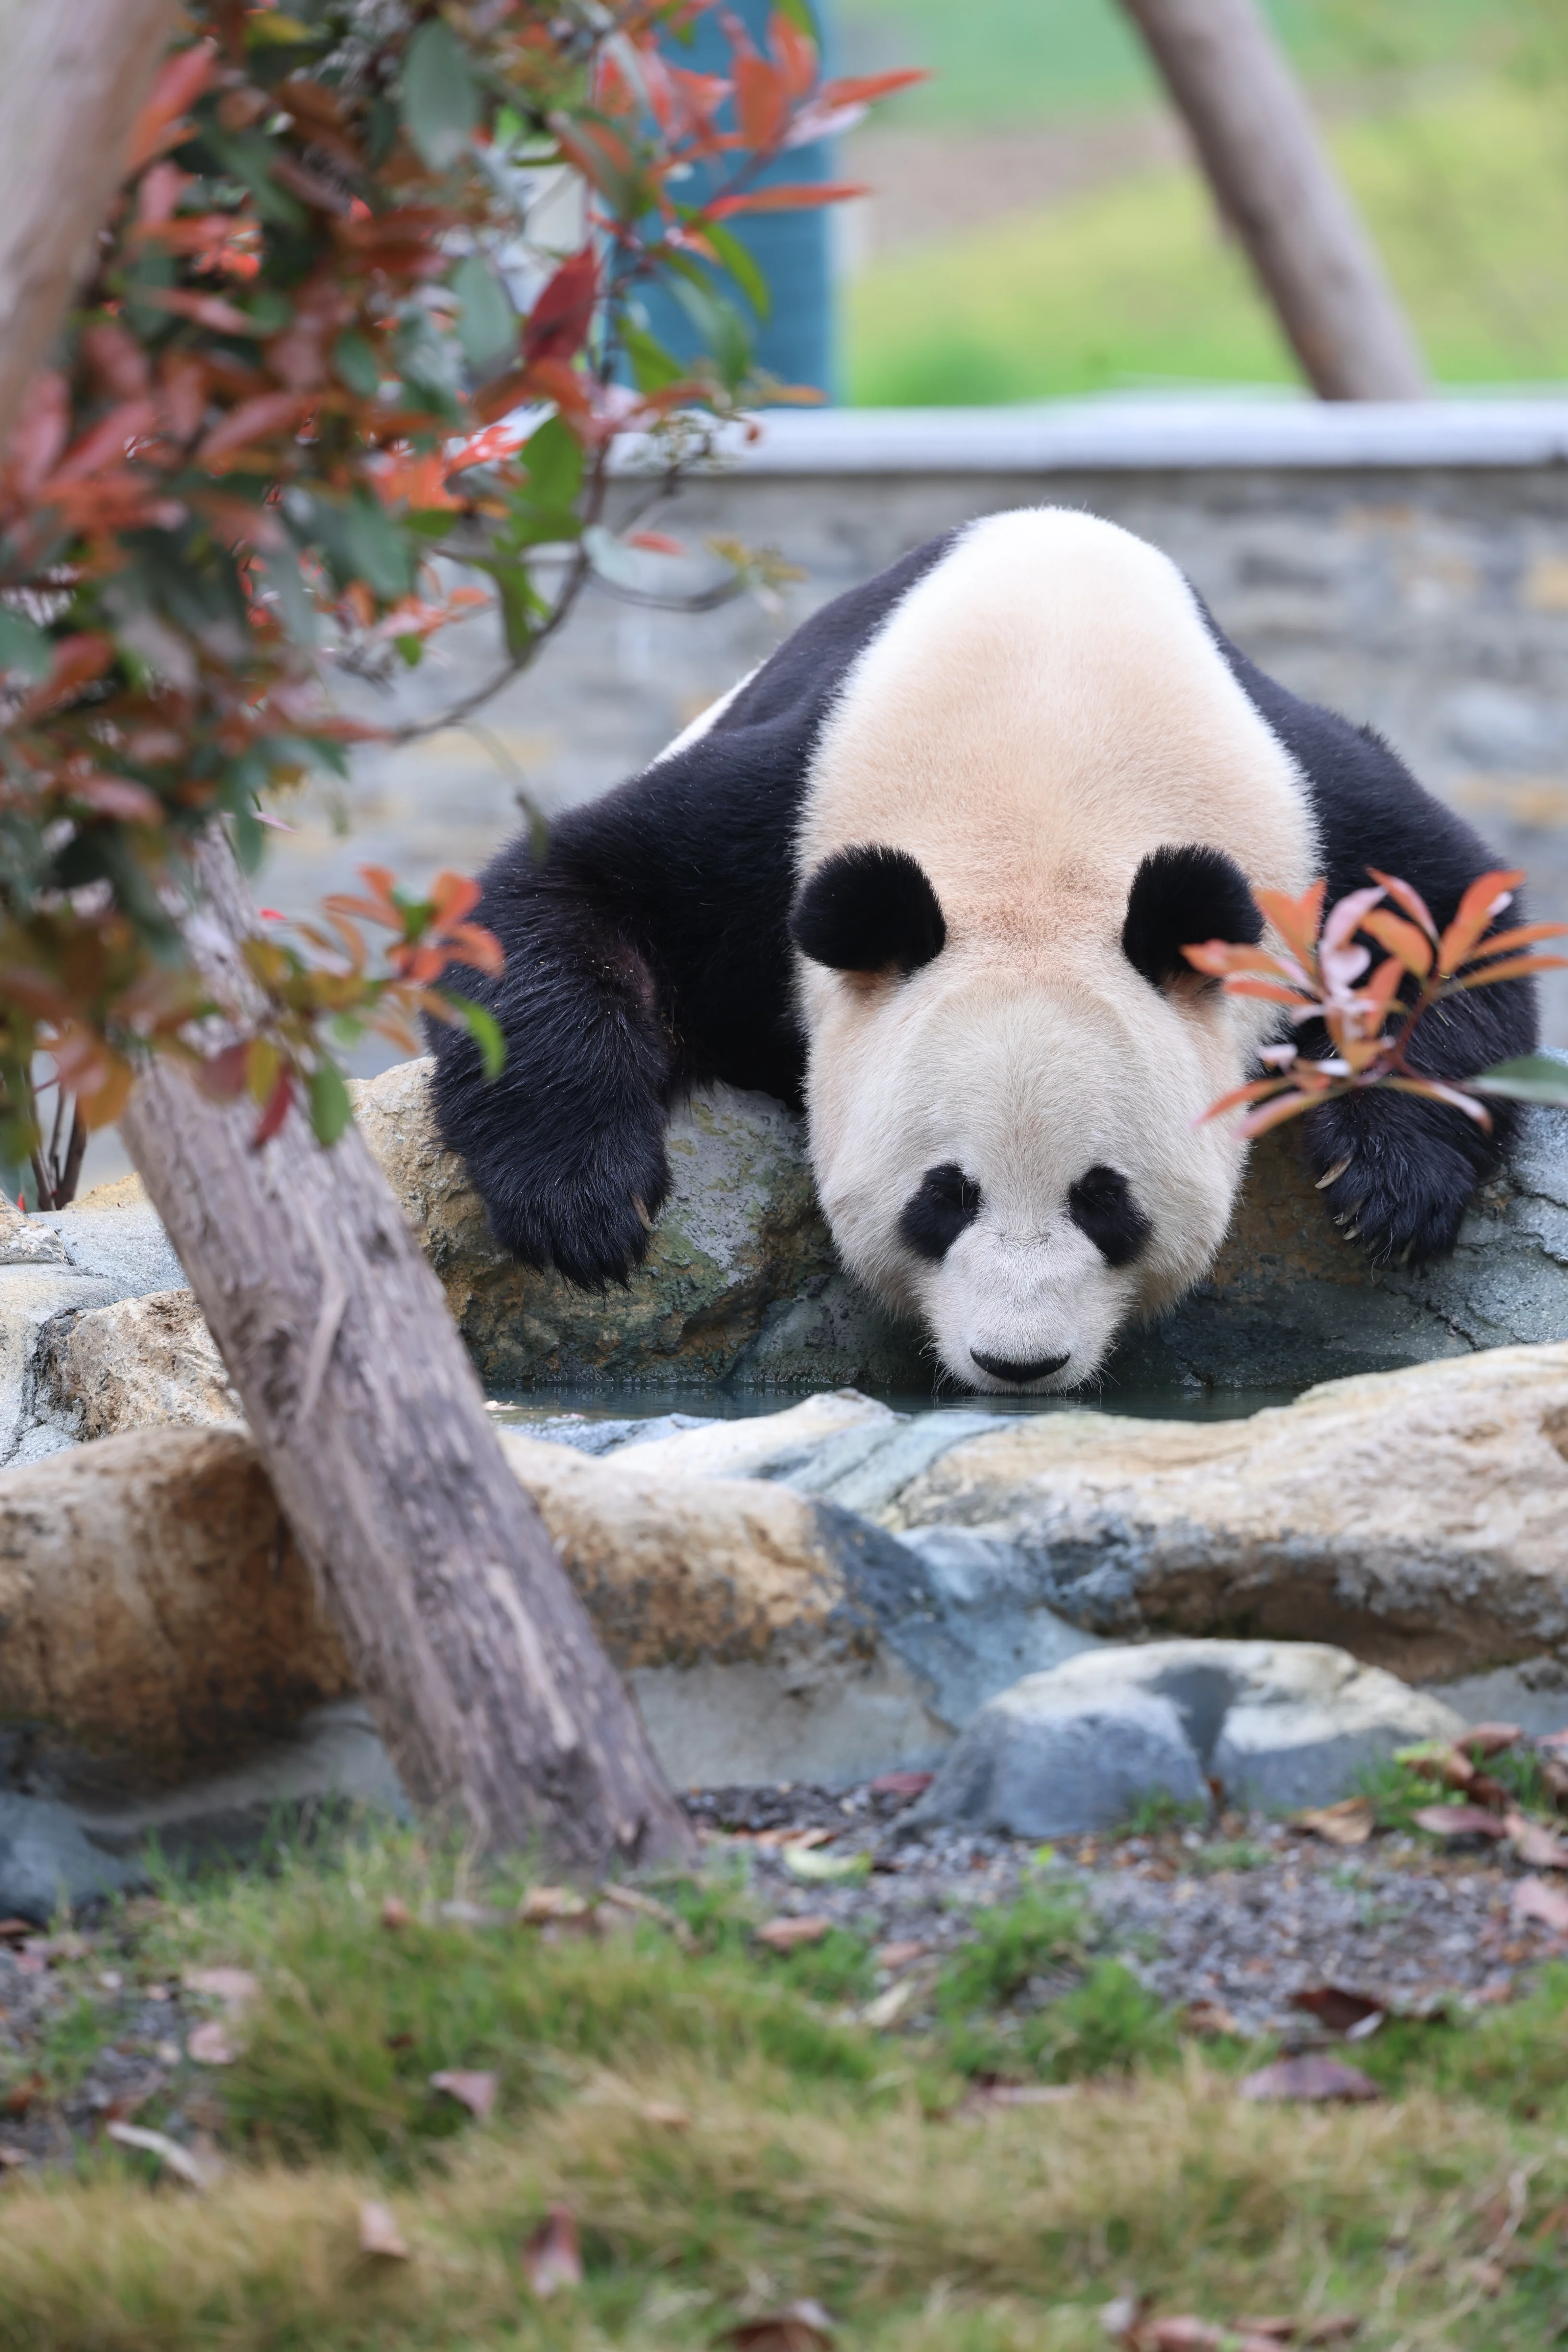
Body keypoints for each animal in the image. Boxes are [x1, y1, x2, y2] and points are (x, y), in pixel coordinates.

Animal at [428, 507, 1537, 1395]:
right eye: (941, 1197)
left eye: (1106, 1202)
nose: (1018, 1363)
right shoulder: (780, 816)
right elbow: (565, 891)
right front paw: (581, 1200)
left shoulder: (1303, 819)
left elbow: (1451, 917)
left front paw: (1386, 1182)